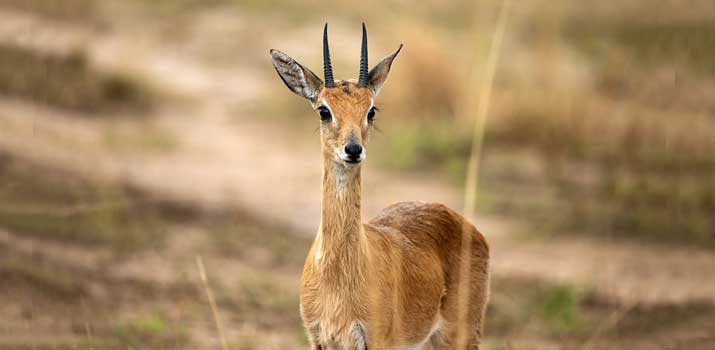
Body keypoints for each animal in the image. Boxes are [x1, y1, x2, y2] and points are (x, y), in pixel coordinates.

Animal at [272, 23, 490, 348]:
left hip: (460, 335)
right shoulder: (318, 338)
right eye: (324, 110)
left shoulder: (377, 340)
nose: (353, 149)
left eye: (371, 110)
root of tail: (465, 224)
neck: (338, 276)